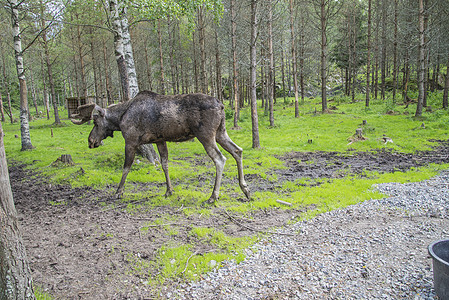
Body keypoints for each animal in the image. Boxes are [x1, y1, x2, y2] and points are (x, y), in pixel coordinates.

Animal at [72, 91, 250, 204]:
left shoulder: (130, 141)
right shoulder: (160, 140)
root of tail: (221, 105)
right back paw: (245, 189)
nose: (90, 141)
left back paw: (213, 196)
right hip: (220, 132)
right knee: (237, 150)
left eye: (95, 122)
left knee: (220, 159)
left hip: (205, 135)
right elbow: (164, 164)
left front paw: (118, 192)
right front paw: (169, 191)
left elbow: (126, 168)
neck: (120, 118)